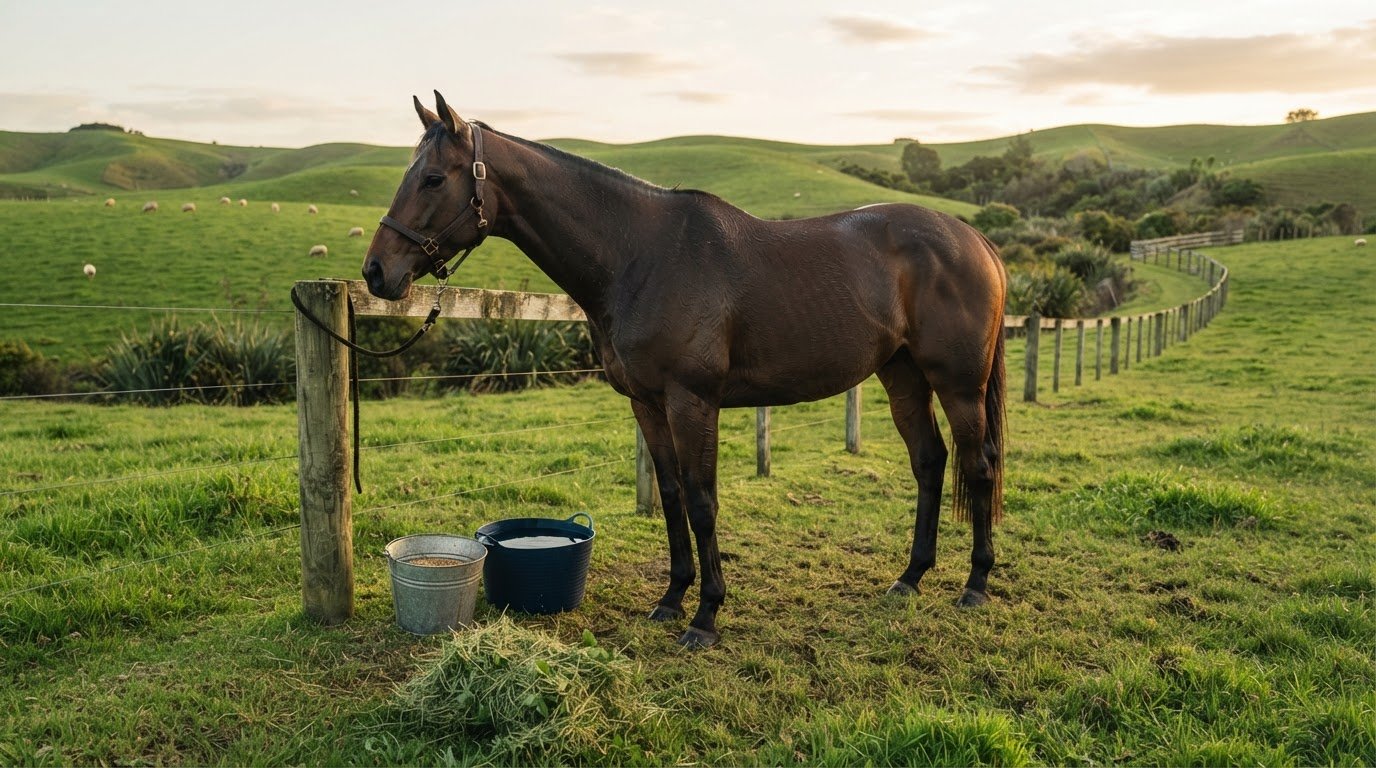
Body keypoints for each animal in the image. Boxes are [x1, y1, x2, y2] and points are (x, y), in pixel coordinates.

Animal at [364, 92, 1009, 649]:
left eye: (433, 178)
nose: (376, 272)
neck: (640, 255)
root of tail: (973, 237)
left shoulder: (692, 401)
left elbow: (703, 501)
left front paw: (706, 616)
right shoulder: (647, 403)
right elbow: (672, 495)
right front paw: (672, 598)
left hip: (958, 383)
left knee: (977, 465)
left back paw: (976, 585)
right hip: (903, 376)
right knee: (930, 462)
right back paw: (910, 578)